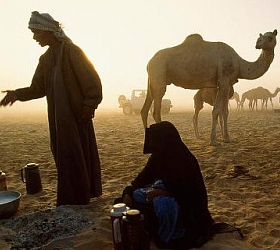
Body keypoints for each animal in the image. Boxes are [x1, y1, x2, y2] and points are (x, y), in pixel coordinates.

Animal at [141, 30, 276, 146]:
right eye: (261, 38)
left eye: (270, 37)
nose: (258, 44)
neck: (239, 64)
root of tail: (149, 62)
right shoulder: (223, 81)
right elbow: (216, 111)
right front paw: (214, 141)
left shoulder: (226, 84)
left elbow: (225, 112)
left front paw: (227, 138)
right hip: (159, 73)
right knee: (156, 110)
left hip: (152, 79)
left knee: (144, 109)